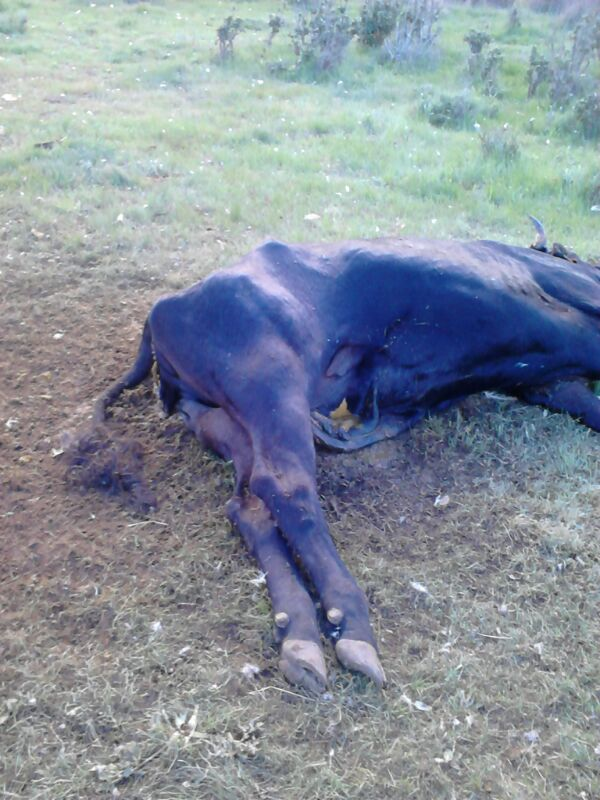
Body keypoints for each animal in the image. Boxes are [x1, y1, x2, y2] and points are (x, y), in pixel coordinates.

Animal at [94, 223, 600, 693]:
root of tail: (164, 308)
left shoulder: (548, 381)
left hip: (222, 420)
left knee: (250, 503)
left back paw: (297, 631)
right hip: (270, 380)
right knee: (286, 487)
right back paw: (350, 624)